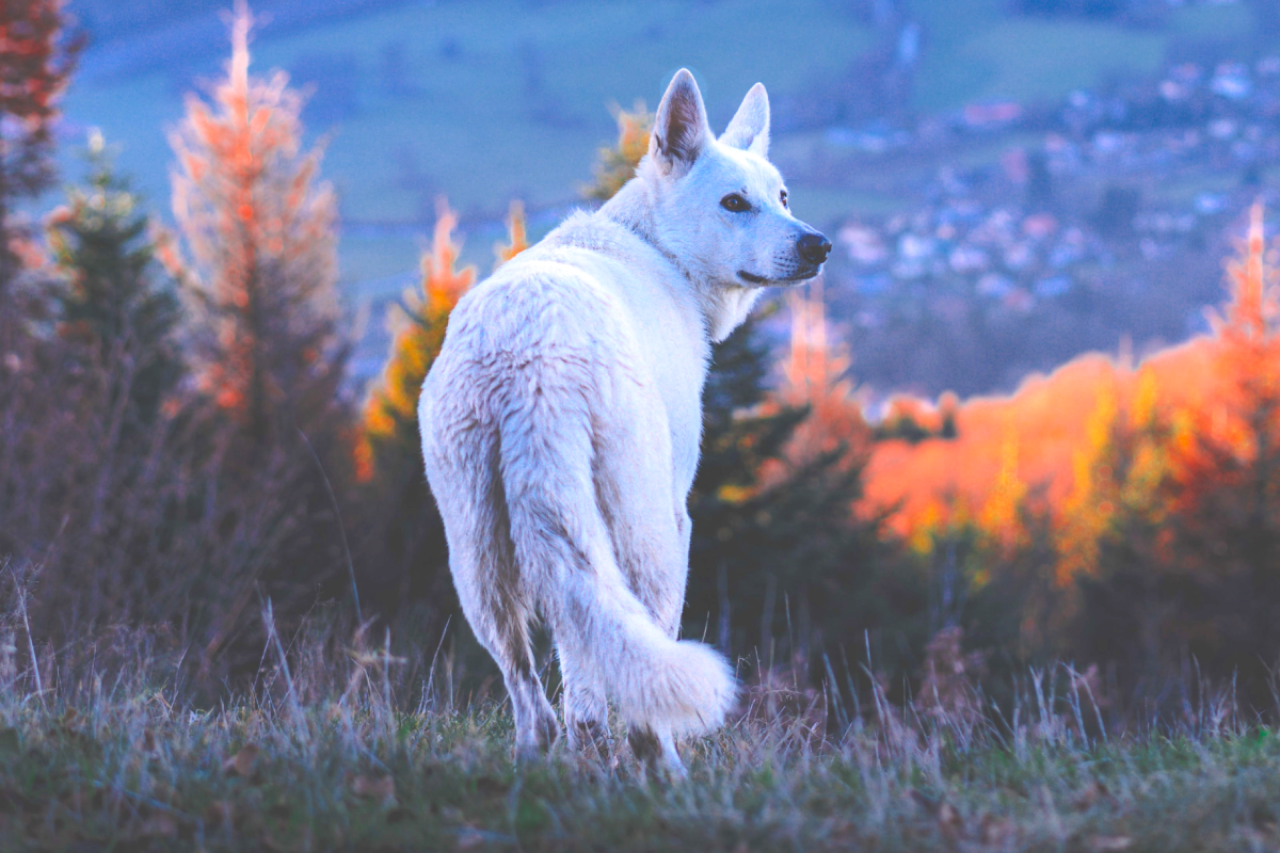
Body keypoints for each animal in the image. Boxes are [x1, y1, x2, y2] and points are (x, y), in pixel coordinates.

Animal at [419, 69, 831, 773]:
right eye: (734, 203)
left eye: (780, 196)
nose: (818, 245)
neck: (657, 248)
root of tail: (527, 359)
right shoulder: (674, 512)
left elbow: (579, 667)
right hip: (647, 531)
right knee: (642, 672)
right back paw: (664, 765)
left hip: (479, 551)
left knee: (539, 692)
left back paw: (543, 762)